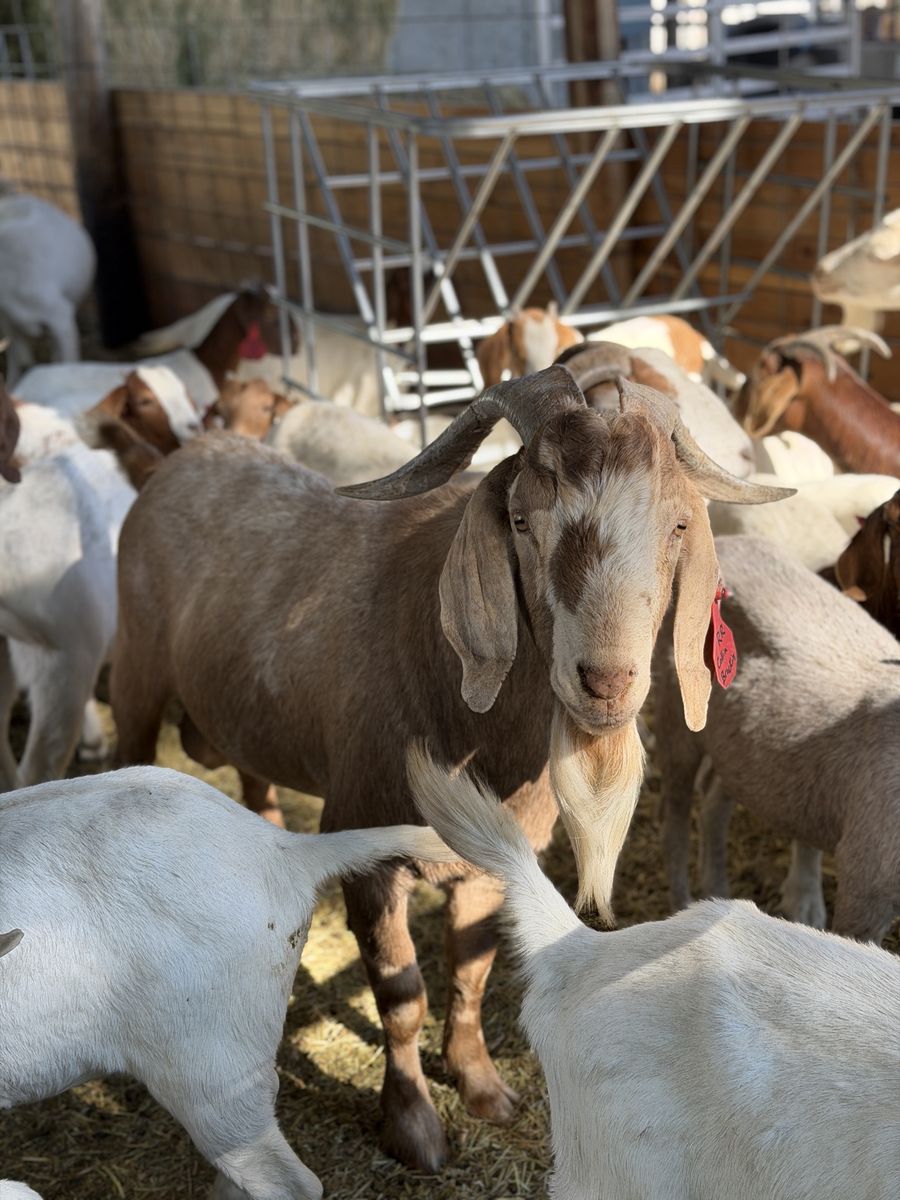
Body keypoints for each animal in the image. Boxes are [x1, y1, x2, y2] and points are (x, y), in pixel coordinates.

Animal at [110, 366, 788, 1172]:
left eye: (678, 526)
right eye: (523, 521)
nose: (606, 682)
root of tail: (178, 461)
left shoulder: (495, 860)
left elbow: (469, 972)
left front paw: (483, 1087)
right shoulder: (370, 852)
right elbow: (402, 996)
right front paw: (415, 1130)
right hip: (137, 670)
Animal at [655, 534, 900, 944]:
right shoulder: (866, 880)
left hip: (738, 747)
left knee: (714, 800)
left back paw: (716, 891)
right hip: (676, 716)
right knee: (675, 813)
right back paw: (681, 901)